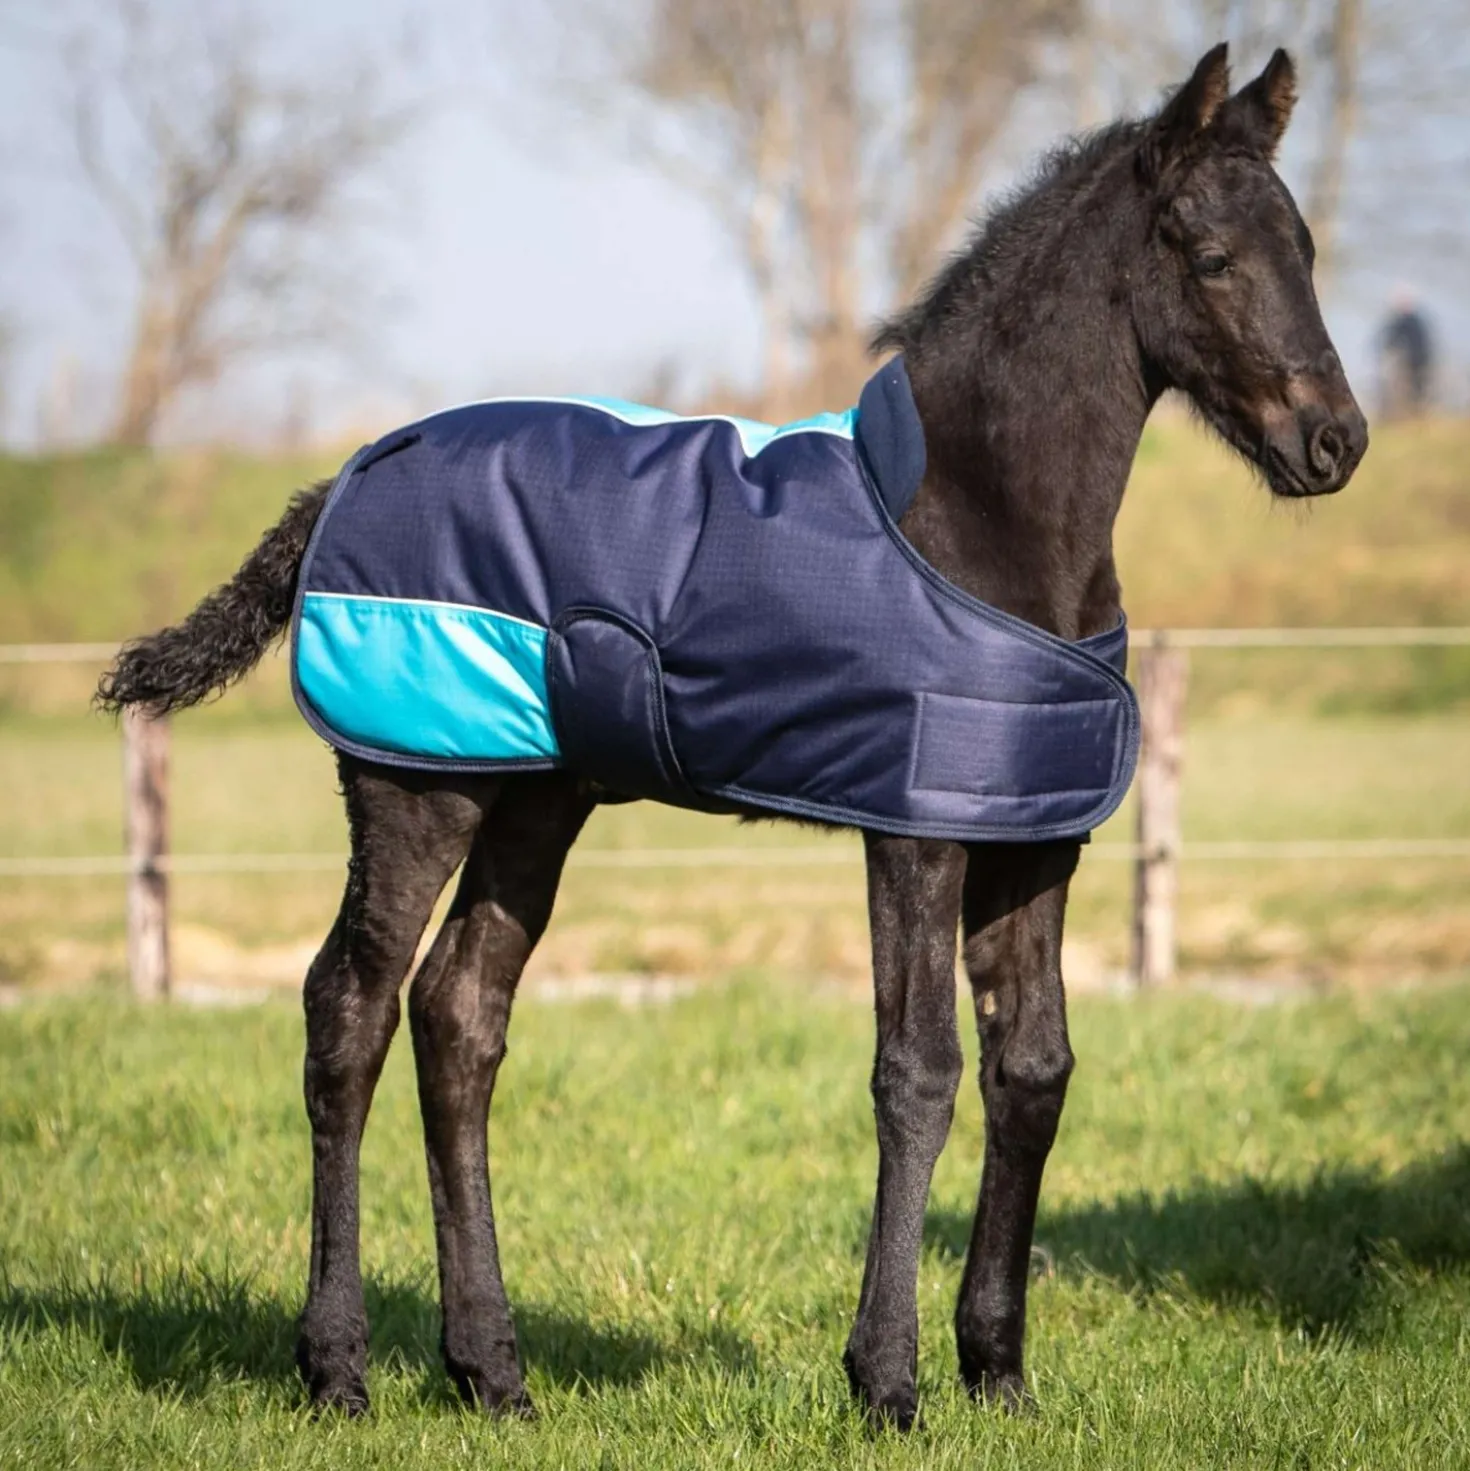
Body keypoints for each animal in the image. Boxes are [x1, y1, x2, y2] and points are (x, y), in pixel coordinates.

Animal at [98, 43, 1366, 1430]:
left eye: (1306, 246)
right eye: (1210, 255)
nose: (1335, 442)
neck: (975, 521)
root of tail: (344, 478)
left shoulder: (1034, 837)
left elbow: (1033, 1070)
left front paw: (1000, 1374)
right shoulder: (913, 832)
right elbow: (917, 1073)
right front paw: (888, 1384)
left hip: (533, 798)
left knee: (458, 1016)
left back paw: (493, 1372)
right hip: (412, 783)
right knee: (351, 1012)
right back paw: (337, 1369)